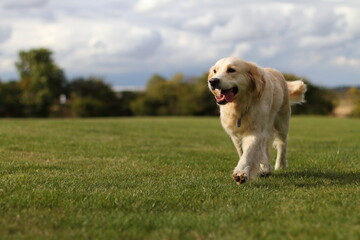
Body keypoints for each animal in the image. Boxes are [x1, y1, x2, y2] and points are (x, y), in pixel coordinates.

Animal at [208, 56, 306, 184]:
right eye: (215, 71)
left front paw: (241, 173)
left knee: (282, 144)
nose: (212, 81)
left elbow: (248, 152)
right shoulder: (235, 134)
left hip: (281, 122)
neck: (241, 105)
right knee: (265, 148)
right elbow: (243, 152)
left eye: (231, 70)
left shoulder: (255, 131)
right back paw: (265, 169)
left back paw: (280, 165)